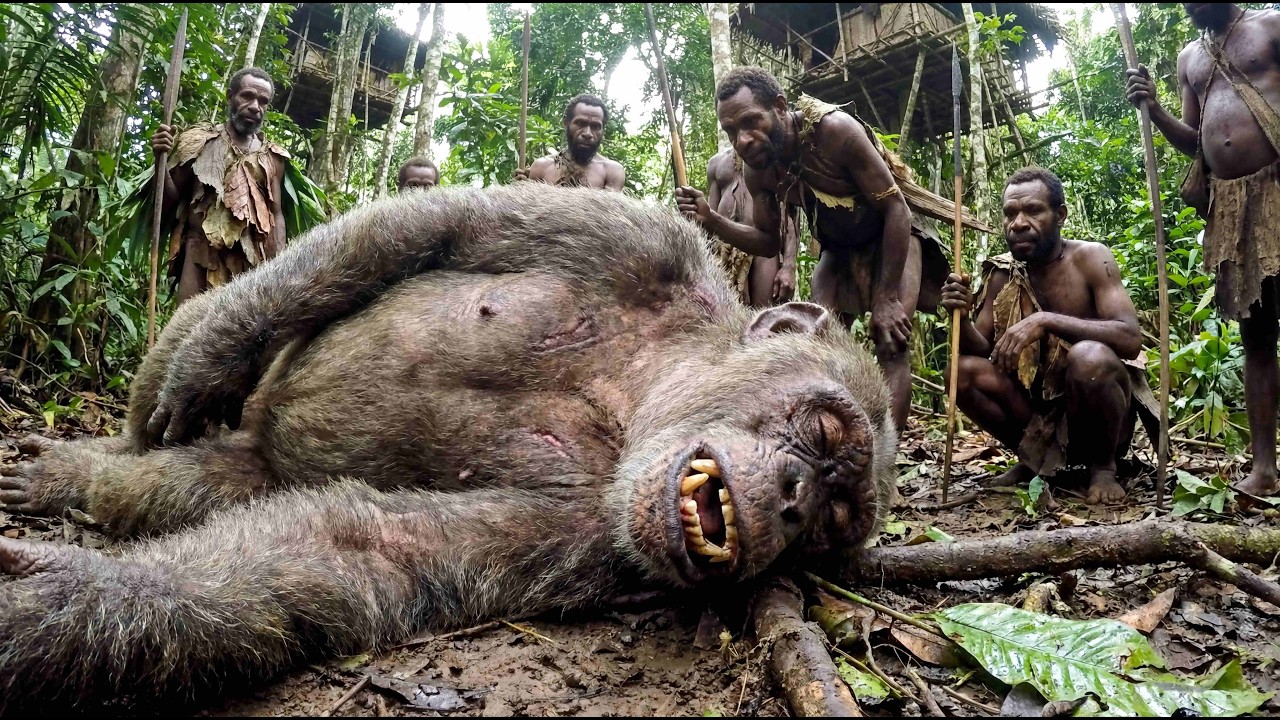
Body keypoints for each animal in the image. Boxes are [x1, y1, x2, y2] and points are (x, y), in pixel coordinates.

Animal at [0, 183, 897, 712]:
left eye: (828, 527)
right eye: (823, 432)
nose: (793, 497)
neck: (631, 405)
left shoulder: (595, 544)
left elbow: (359, 549)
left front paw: (68, 597)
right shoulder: (639, 238)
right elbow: (427, 227)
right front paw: (212, 357)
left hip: (244, 466)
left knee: (192, 487)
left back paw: (79, 483)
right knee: (181, 364)